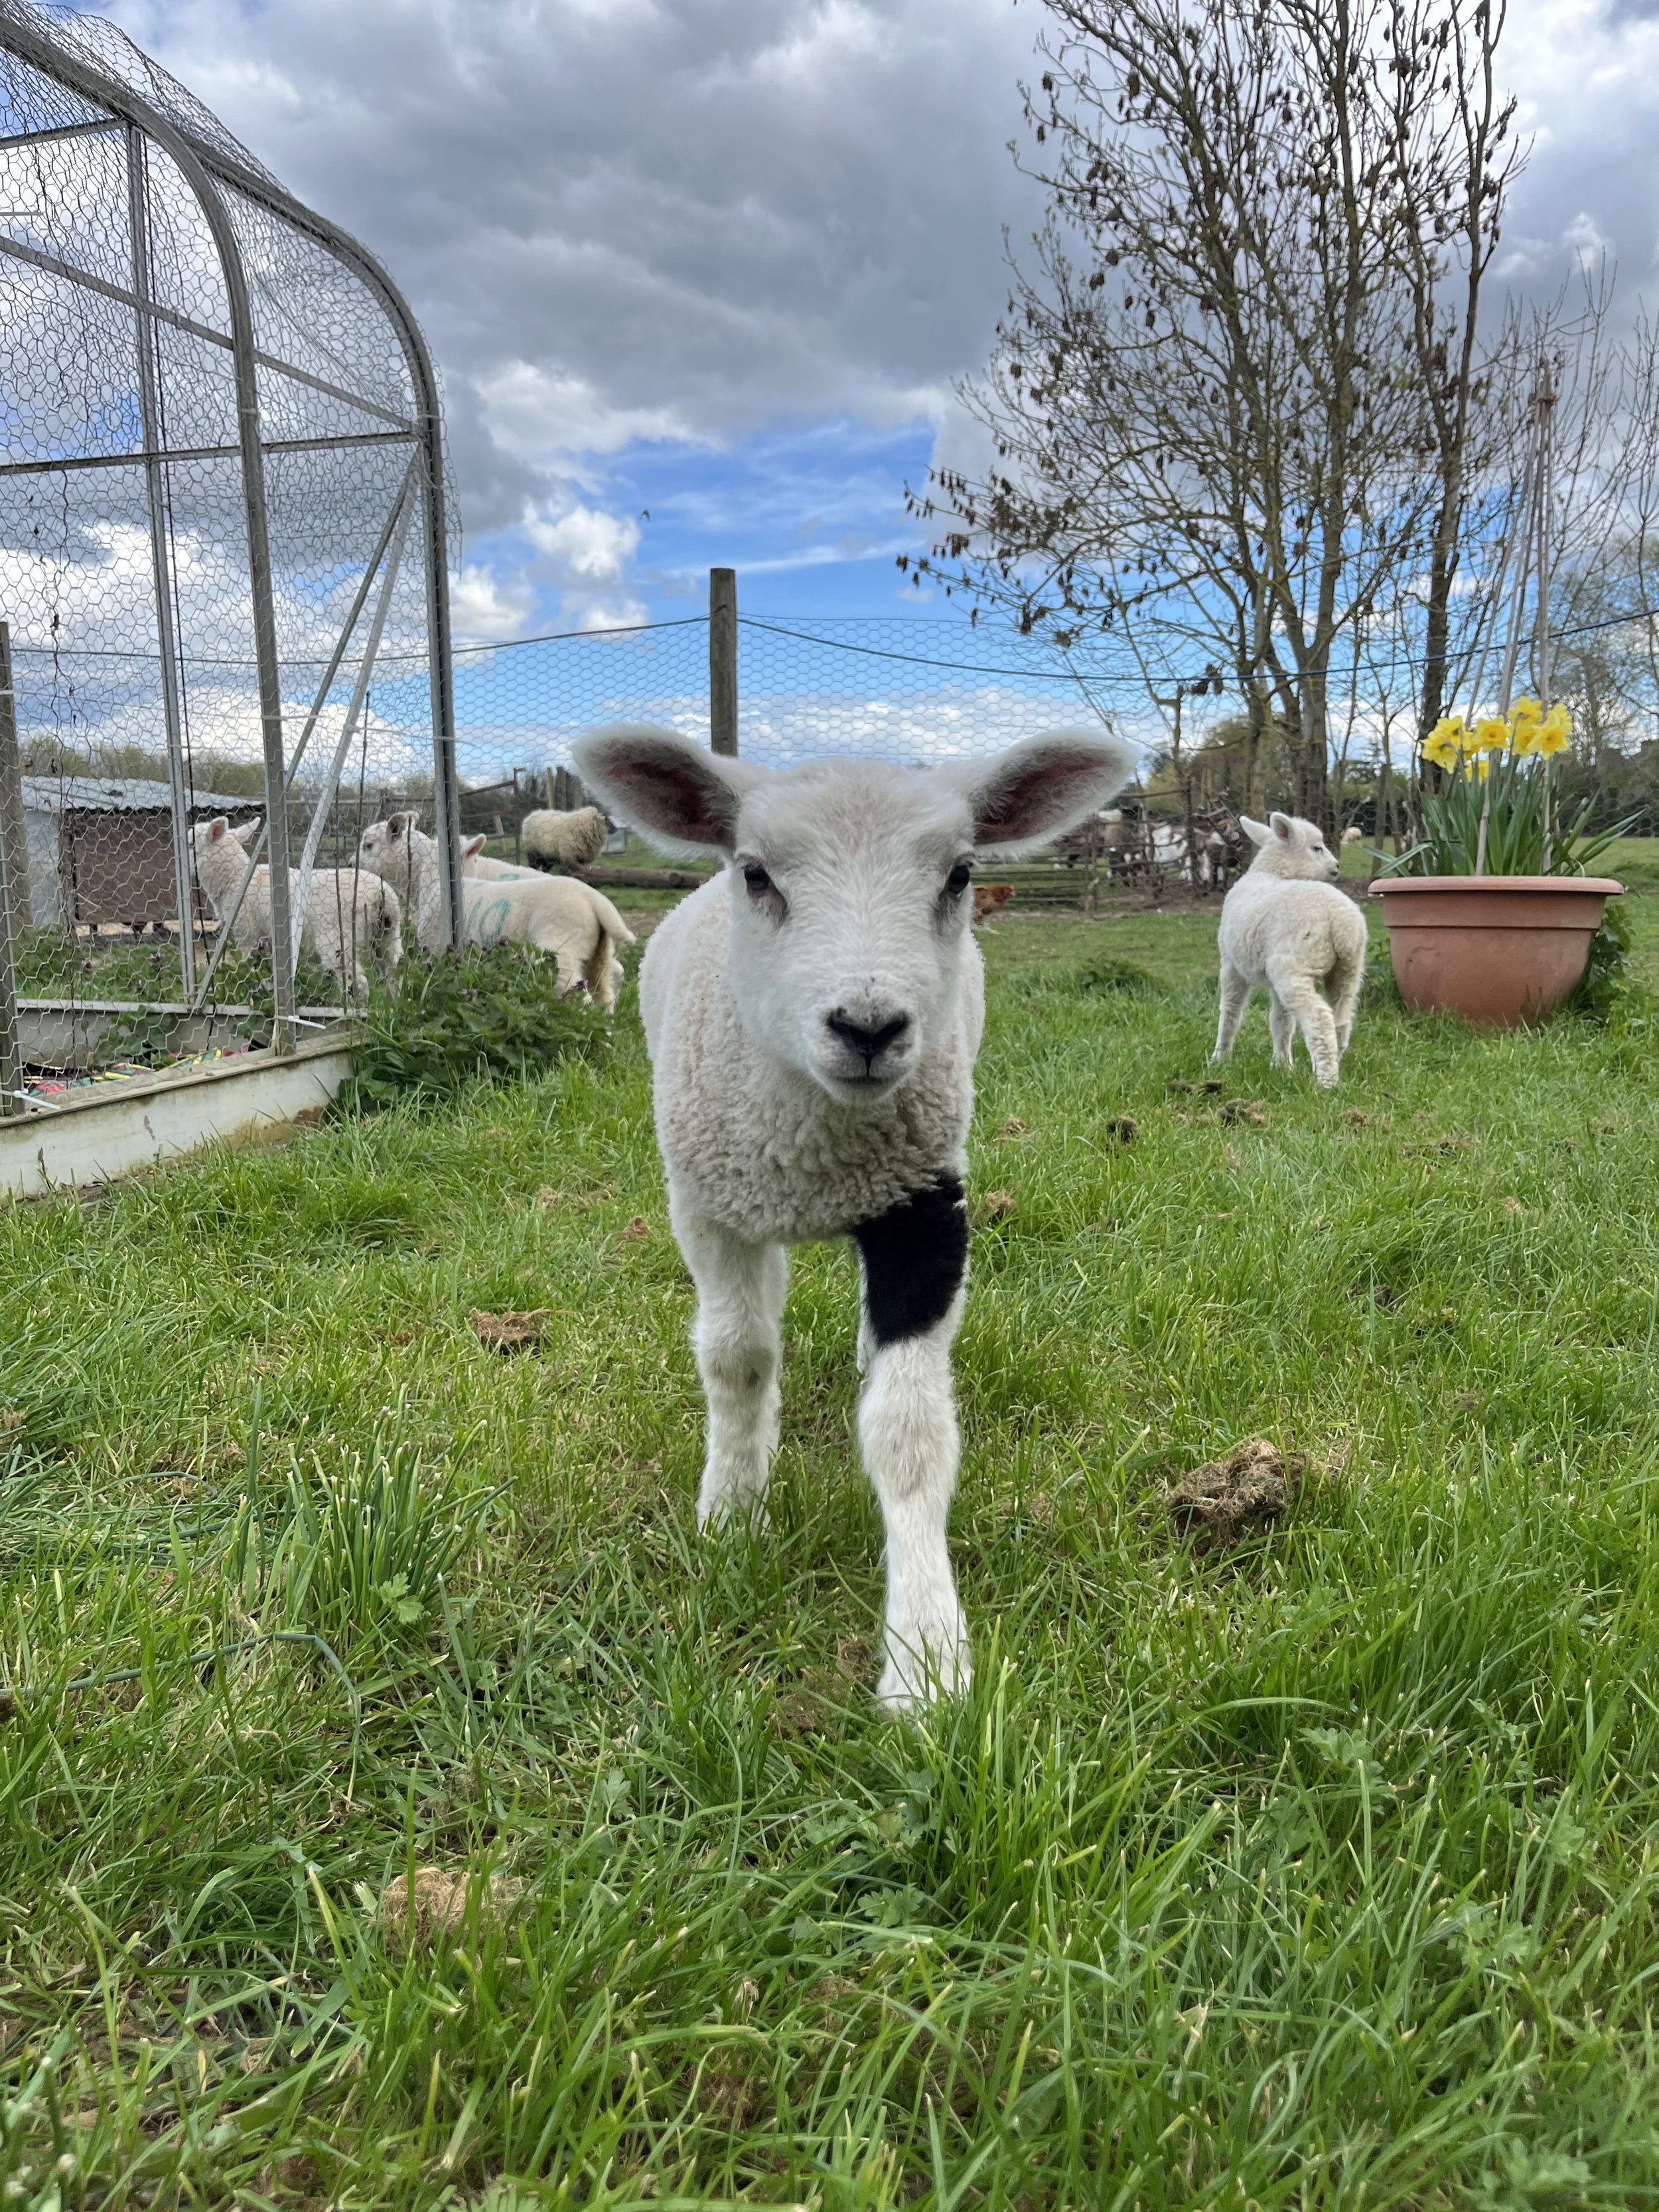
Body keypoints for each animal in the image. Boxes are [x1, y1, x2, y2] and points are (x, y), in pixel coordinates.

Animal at [188, 816, 401, 999]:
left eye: (191, 843)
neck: (236, 879)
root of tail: (380, 896)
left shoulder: (246, 935)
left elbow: (245, 966)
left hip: (338, 939)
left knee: (357, 981)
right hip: (387, 937)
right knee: (392, 974)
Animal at [357, 812, 635, 1010]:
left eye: (368, 845)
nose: (350, 863)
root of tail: (596, 901)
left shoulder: (437, 948)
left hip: (561, 953)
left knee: (580, 996)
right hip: (598, 956)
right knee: (607, 990)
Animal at [520, 804, 610, 872]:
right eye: (606, 821)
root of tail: (528, 817)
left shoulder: (583, 859)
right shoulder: (569, 856)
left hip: (548, 855)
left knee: (545, 867)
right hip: (533, 851)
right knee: (533, 865)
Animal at [571, 720, 1137, 1711]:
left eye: (958, 875)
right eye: (756, 874)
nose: (868, 1028)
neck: (818, 1140)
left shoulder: (926, 1208)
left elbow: (909, 1432)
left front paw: (927, 1659)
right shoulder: (711, 1208)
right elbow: (737, 1362)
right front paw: (732, 1514)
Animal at [1212, 811, 1368, 1088]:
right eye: (1316, 848)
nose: (1337, 866)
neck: (1270, 872)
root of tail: (1343, 924)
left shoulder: (1231, 963)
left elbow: (1230, 1010)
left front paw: (1220, 1057)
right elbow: (1281, 1020)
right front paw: (1282, 1065)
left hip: (1293, 966)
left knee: (1319, 1018)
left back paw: (1326, 1083)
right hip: (1349, 968)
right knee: (1341, 1019)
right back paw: (1335, 1065)